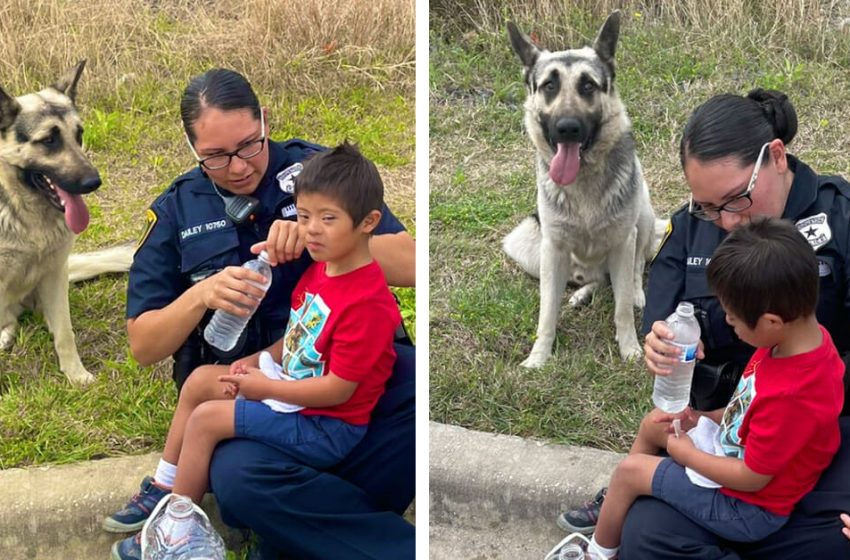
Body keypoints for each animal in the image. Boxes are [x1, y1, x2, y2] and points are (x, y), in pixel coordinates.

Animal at [0, 61, 132, 384]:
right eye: (49, 140)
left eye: (79, 134)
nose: (93, 183)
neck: (29, 217)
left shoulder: (54, 274)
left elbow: (64, 333)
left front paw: (76, 376)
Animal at [504, 13, 656, 366]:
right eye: (549, 85)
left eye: (588, 85)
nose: (567, 129)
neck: (584, 179)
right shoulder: (553, 249)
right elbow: (547, 313)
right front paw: (539, 357)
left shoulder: (623, 242)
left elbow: (622, 308)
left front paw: (630, 349)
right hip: (523, 244)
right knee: (595, 280)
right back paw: (582, 292)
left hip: (644, 215)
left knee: (634, 269)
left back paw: (633, 292)